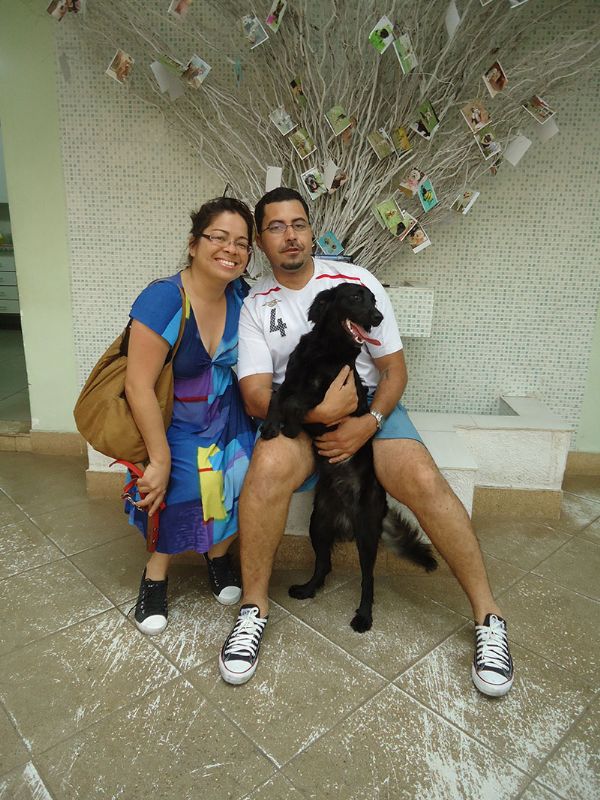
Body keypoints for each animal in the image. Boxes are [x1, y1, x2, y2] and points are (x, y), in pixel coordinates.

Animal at [261, 282, 437, 632]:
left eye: (374, 299)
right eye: (356, 298)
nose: (378, 316)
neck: (324, 349)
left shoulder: (332, 392)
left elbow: (297, 401)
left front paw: (290, 427)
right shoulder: (292, 378)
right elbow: (278, 396)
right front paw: (271, 425)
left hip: (366, 534)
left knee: (368, 580)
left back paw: (363, 617)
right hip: (318, 523)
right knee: (323, 565)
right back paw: (307, 589)